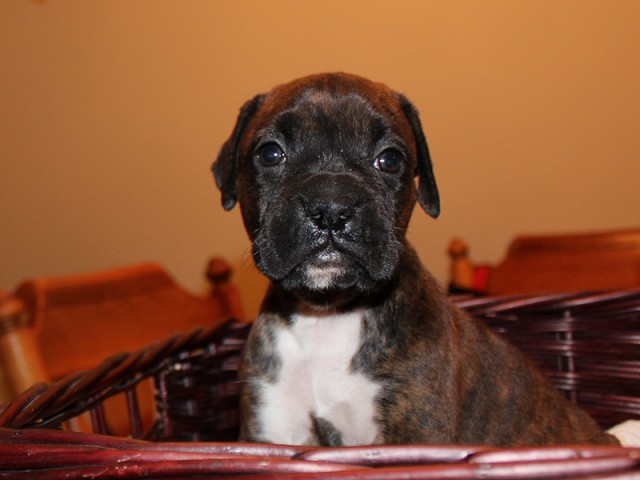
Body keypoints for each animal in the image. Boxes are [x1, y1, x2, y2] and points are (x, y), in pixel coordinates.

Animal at [212, 73, 616, 448]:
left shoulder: (419, 431)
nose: (331, 207)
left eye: (390, 160)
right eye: (270, 154)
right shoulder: (272, 431)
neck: (329, 314)